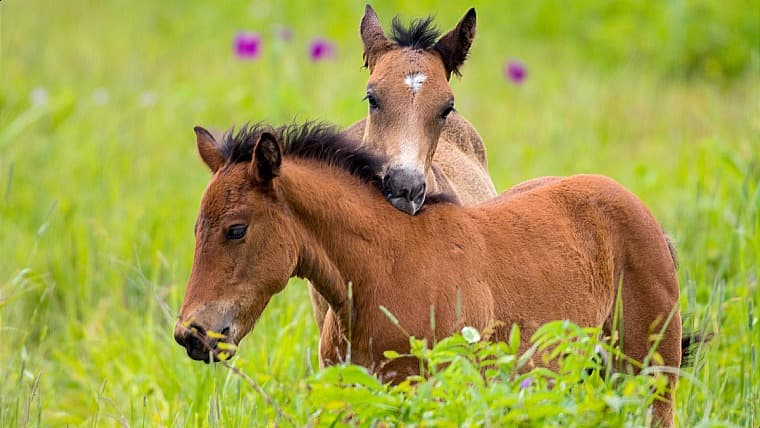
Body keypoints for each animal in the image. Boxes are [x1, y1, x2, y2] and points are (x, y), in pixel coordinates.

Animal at [174, 123, 684, 426]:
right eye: (195, 229)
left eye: (236, 229)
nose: (191, 334)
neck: (385, 271)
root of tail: (641, 210)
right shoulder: (355, 393)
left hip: (653, 373)